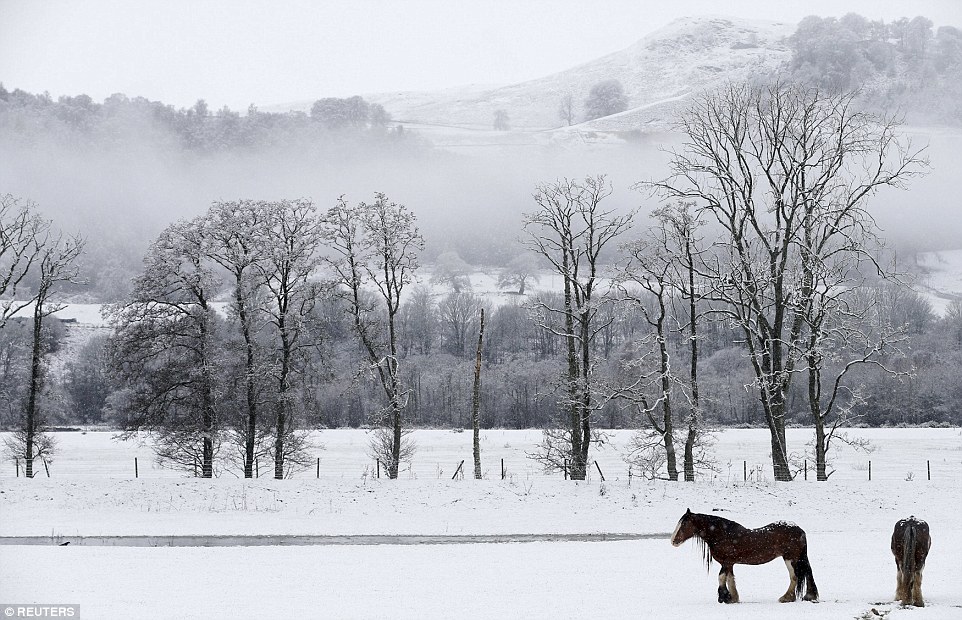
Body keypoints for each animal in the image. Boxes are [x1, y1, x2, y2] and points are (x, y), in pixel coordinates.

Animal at [668, 508, 816, 604]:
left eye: (684, 524)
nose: (673, 541)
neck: (722, 534)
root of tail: (799, 530)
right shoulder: (730, 564)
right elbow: (730, 579)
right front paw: (733, 598)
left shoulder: (726, 562)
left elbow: (721, 577)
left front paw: (724, 598)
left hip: (790, 558)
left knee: (794, 577)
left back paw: (787, 598)